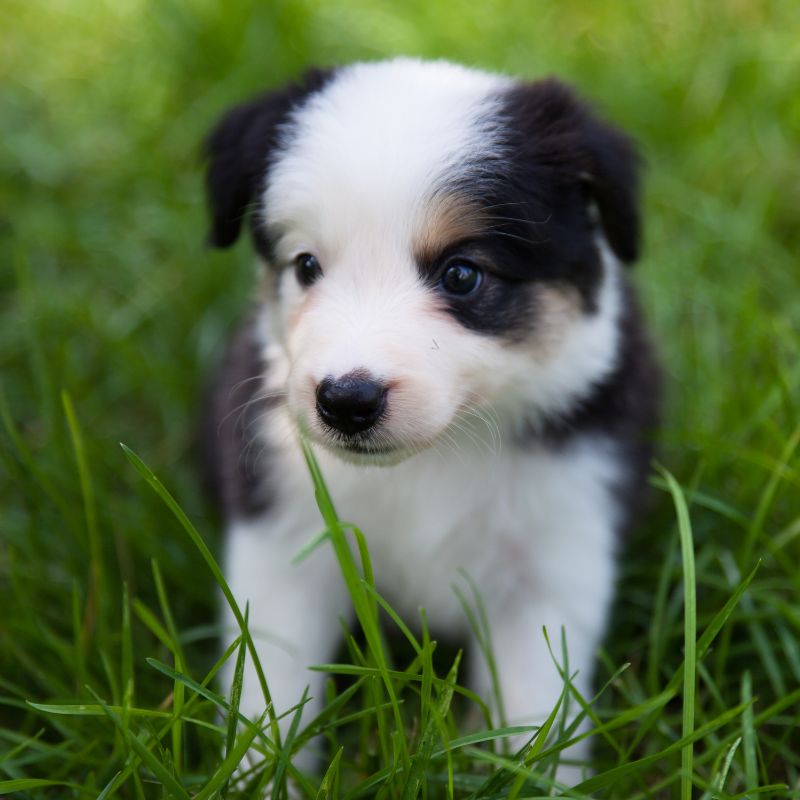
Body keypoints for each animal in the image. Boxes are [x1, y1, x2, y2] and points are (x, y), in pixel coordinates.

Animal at [198, 57, 656, 780]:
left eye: (462, 274)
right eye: (306, 266)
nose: (345, 400)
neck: (438, 455)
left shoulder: (555, 555)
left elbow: (536, 711)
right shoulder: (283, 541)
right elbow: (271, 691)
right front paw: (262, 781)